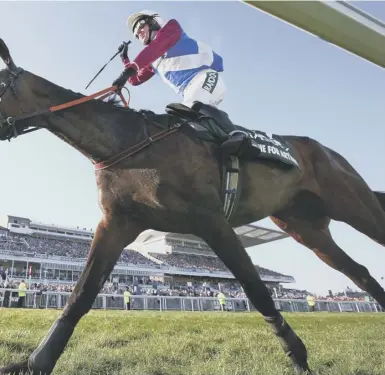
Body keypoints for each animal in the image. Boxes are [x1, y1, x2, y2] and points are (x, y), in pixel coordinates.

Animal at [0, 37, 384, 375]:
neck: (127, 144)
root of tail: (327, 151)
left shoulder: (211, 220)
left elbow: (257, 289)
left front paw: (297, 355)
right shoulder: (117, 223)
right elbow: (81, 294)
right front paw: (35, 362)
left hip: (355, 205)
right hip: (307, 229)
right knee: (361, 273)